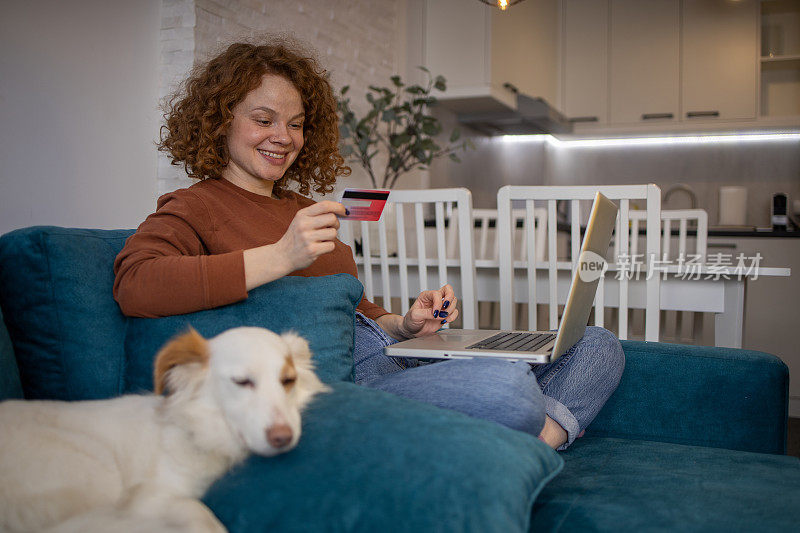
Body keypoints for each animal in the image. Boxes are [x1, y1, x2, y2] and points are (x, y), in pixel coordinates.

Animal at [0, 326, 328, 528]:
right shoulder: (146, 499)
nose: (283, 438)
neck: (202, 430)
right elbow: (200, 512)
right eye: (242, 382)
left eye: (288, 380)